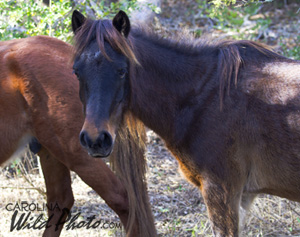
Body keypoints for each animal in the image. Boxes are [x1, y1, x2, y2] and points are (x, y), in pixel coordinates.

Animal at [71, 10, 300, 236]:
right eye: (76, 72)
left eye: (121, 70)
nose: (95, 139)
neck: (204, 96)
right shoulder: (242, 196)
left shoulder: (222, 192)